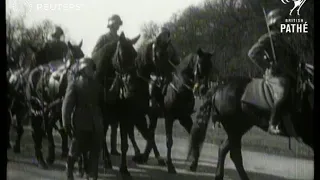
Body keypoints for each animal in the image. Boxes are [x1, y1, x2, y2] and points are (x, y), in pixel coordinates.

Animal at [25, 40, 84, 169]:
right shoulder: (54, 111)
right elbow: (52, 128)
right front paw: (52, 155)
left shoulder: (57, 111)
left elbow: (57, 129)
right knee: (36, 130)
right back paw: (41, 158)